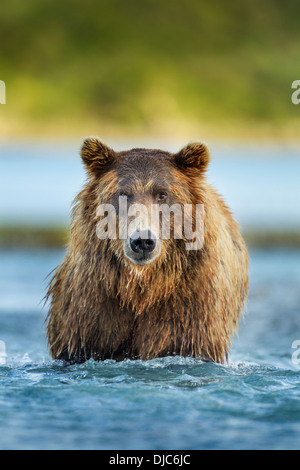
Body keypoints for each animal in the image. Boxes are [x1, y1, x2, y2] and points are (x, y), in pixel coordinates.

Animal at [46, 138, 248, 366]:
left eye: (162, 194)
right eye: (123, 193)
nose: (142, 240)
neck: (143, 285)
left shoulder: (191, 305)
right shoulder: (92, 303)